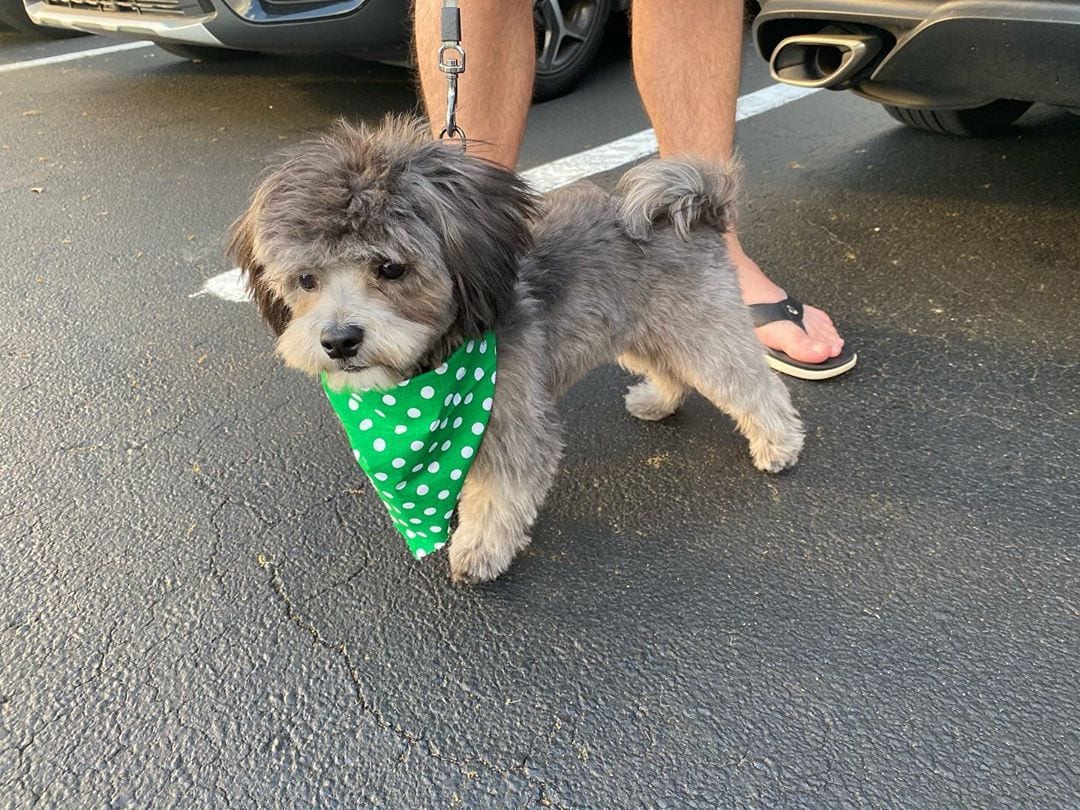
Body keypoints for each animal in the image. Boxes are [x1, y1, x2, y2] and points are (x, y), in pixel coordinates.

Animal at [227, 117, 803, 583]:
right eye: (306, 279)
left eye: (390, 267)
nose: (339, 340)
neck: (439, 364)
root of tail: (693, 209)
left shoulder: (514, 426)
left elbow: (498, 498)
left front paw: (479, 550)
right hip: (641, 331)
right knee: (670, 370)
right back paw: (658, 401)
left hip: (701, 331)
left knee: (752, 386)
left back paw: (778, 445)